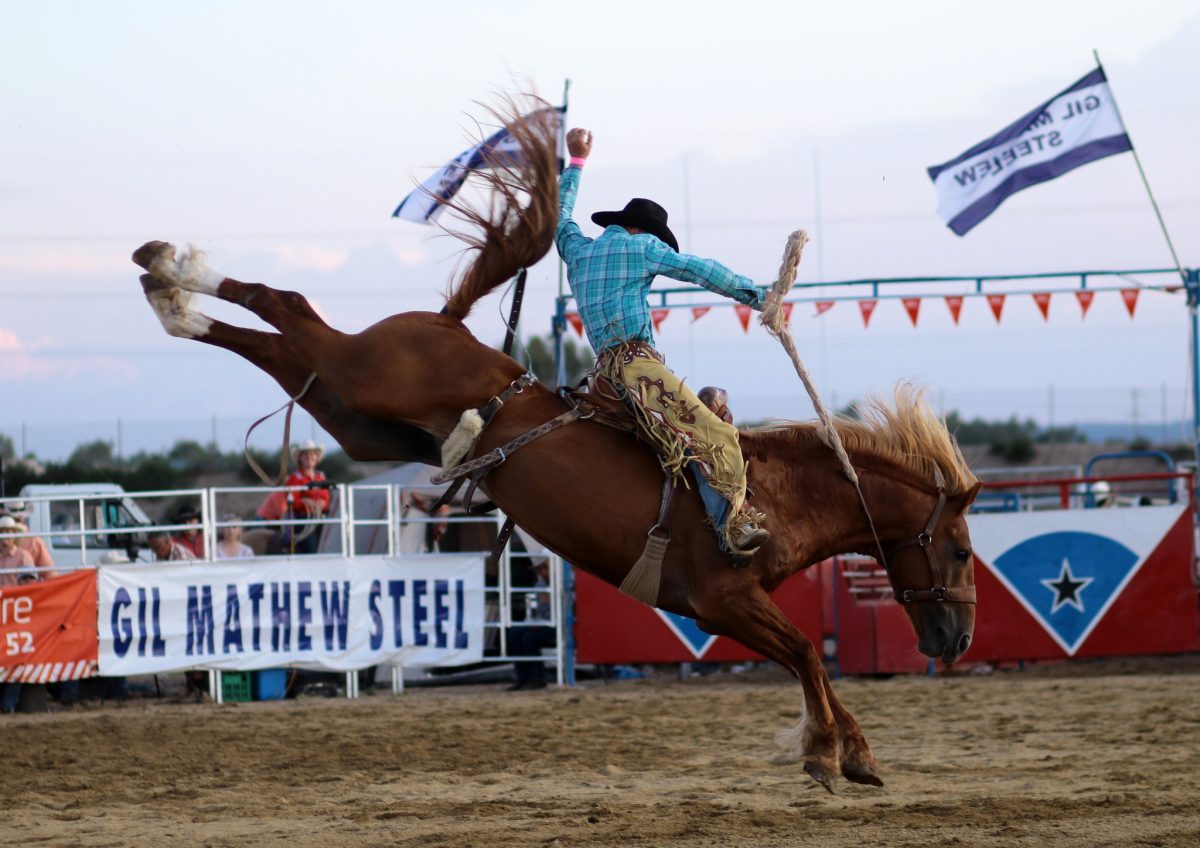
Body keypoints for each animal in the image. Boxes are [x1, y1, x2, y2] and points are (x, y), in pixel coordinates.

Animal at [131, 102, 979, 791]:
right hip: (365, 376)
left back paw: (171, 293)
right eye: (963, 551)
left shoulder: (736, 605)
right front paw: (831, 755)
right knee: (289, 303)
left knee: (282, 343)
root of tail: (445, 323)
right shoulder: (723, 598)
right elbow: (807, 652)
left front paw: (853, 754)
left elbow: (811, 661)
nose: (958, 638)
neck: (777, 490)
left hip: (354, 414)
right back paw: (174, 266)